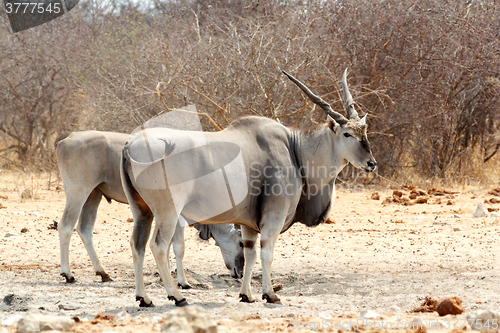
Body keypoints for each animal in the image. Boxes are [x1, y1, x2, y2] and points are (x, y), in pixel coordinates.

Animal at [56, 130, 244, 288]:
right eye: (241, 242)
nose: (239, 273)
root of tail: (64, 141)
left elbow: (166, 245)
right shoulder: (176, 215)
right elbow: (177, 247)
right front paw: (182, 282)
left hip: (94, 195)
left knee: (85, 229)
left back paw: (103, 273)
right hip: (78, 193)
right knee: (65, 226)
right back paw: (68, 274)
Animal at [122, 69, 376, 306]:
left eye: (364, 132)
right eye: (347, 133)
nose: (371, 163)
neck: (294, 150)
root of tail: (131, 144)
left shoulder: (248, 224)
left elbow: (250, 253)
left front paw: (247, 295)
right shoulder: (273, 217)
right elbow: (266, 253)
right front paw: (270, 294)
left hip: (141, 211)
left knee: (137, 245)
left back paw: (143, 298)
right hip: (168, 212)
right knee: (158, 246)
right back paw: (176, 296)